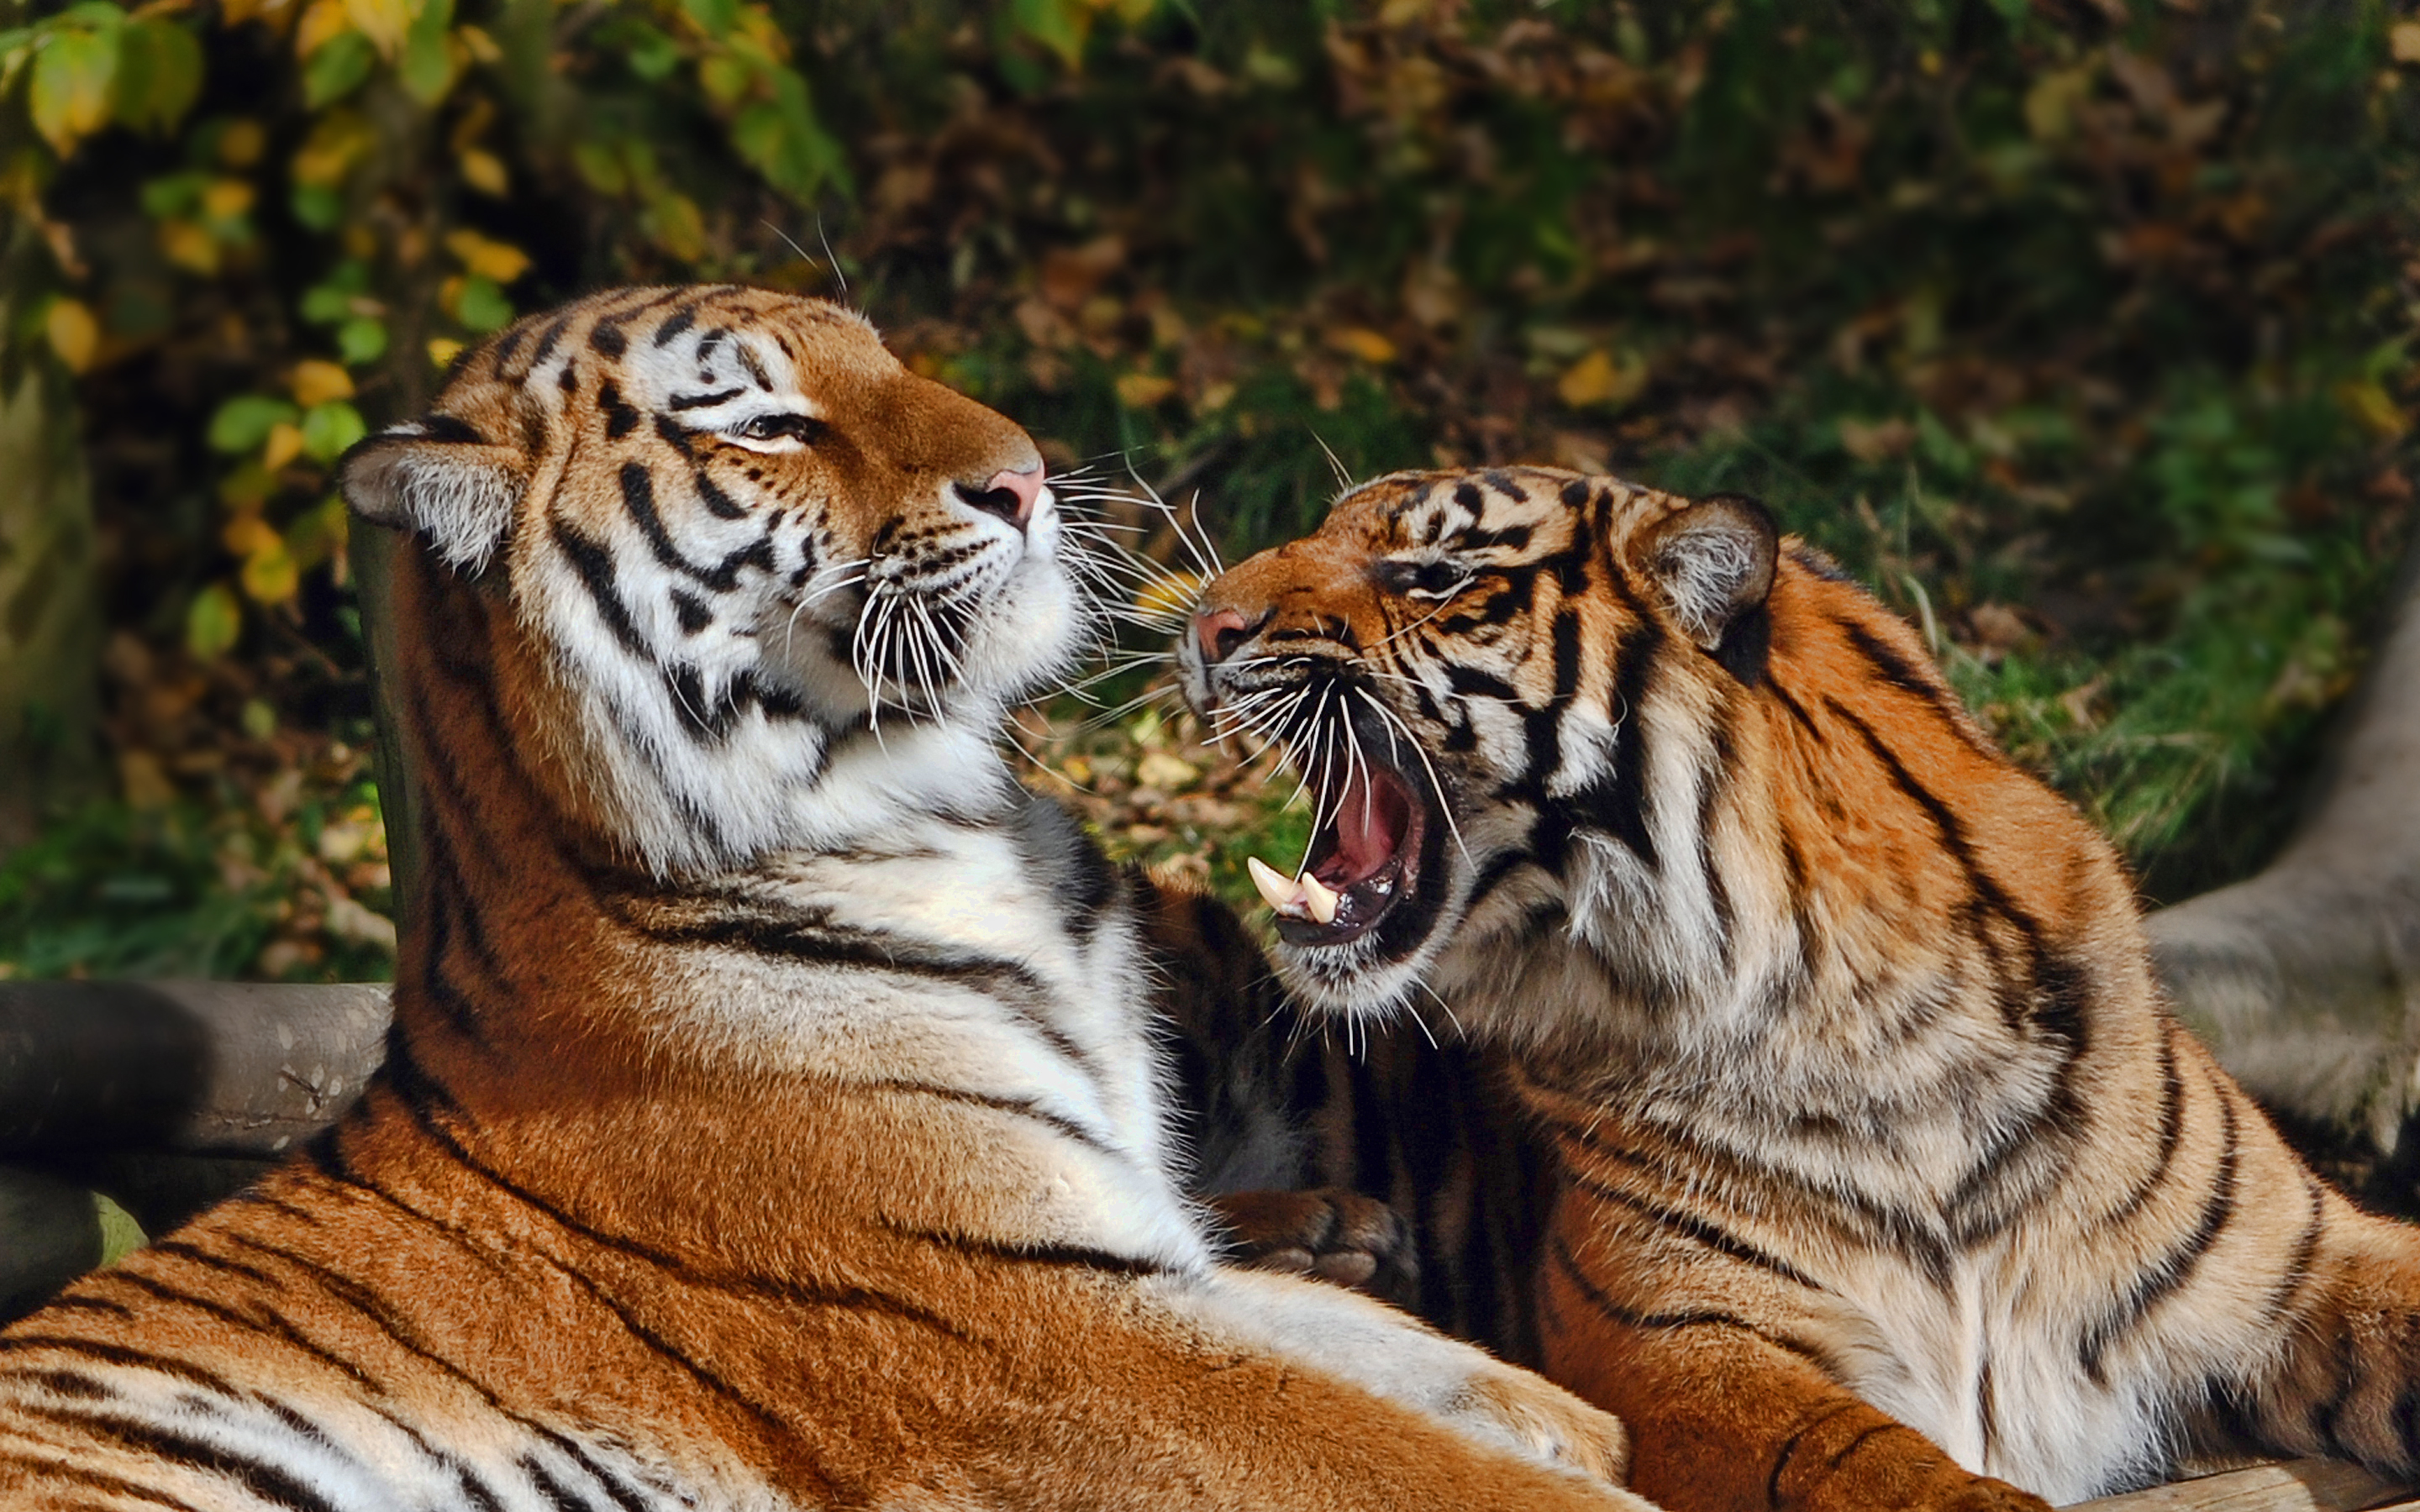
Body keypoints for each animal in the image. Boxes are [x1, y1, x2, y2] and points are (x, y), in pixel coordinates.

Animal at [0, 295, 1655, 1509]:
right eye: (768, 423)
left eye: (888, 357)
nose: (1030, 476)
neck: (952, 820)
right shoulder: (1044, 1335)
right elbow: (1427, 1464)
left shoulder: (1129, 1254)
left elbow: (1436, 1378)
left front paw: (1563, 1418)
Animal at [1171, 462, 2420, 1509]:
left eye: (1434, 575)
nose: (1200, 621)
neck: (1886, 1017)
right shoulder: (1685, 1346)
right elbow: (1898, 1476)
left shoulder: (2300, 1263)